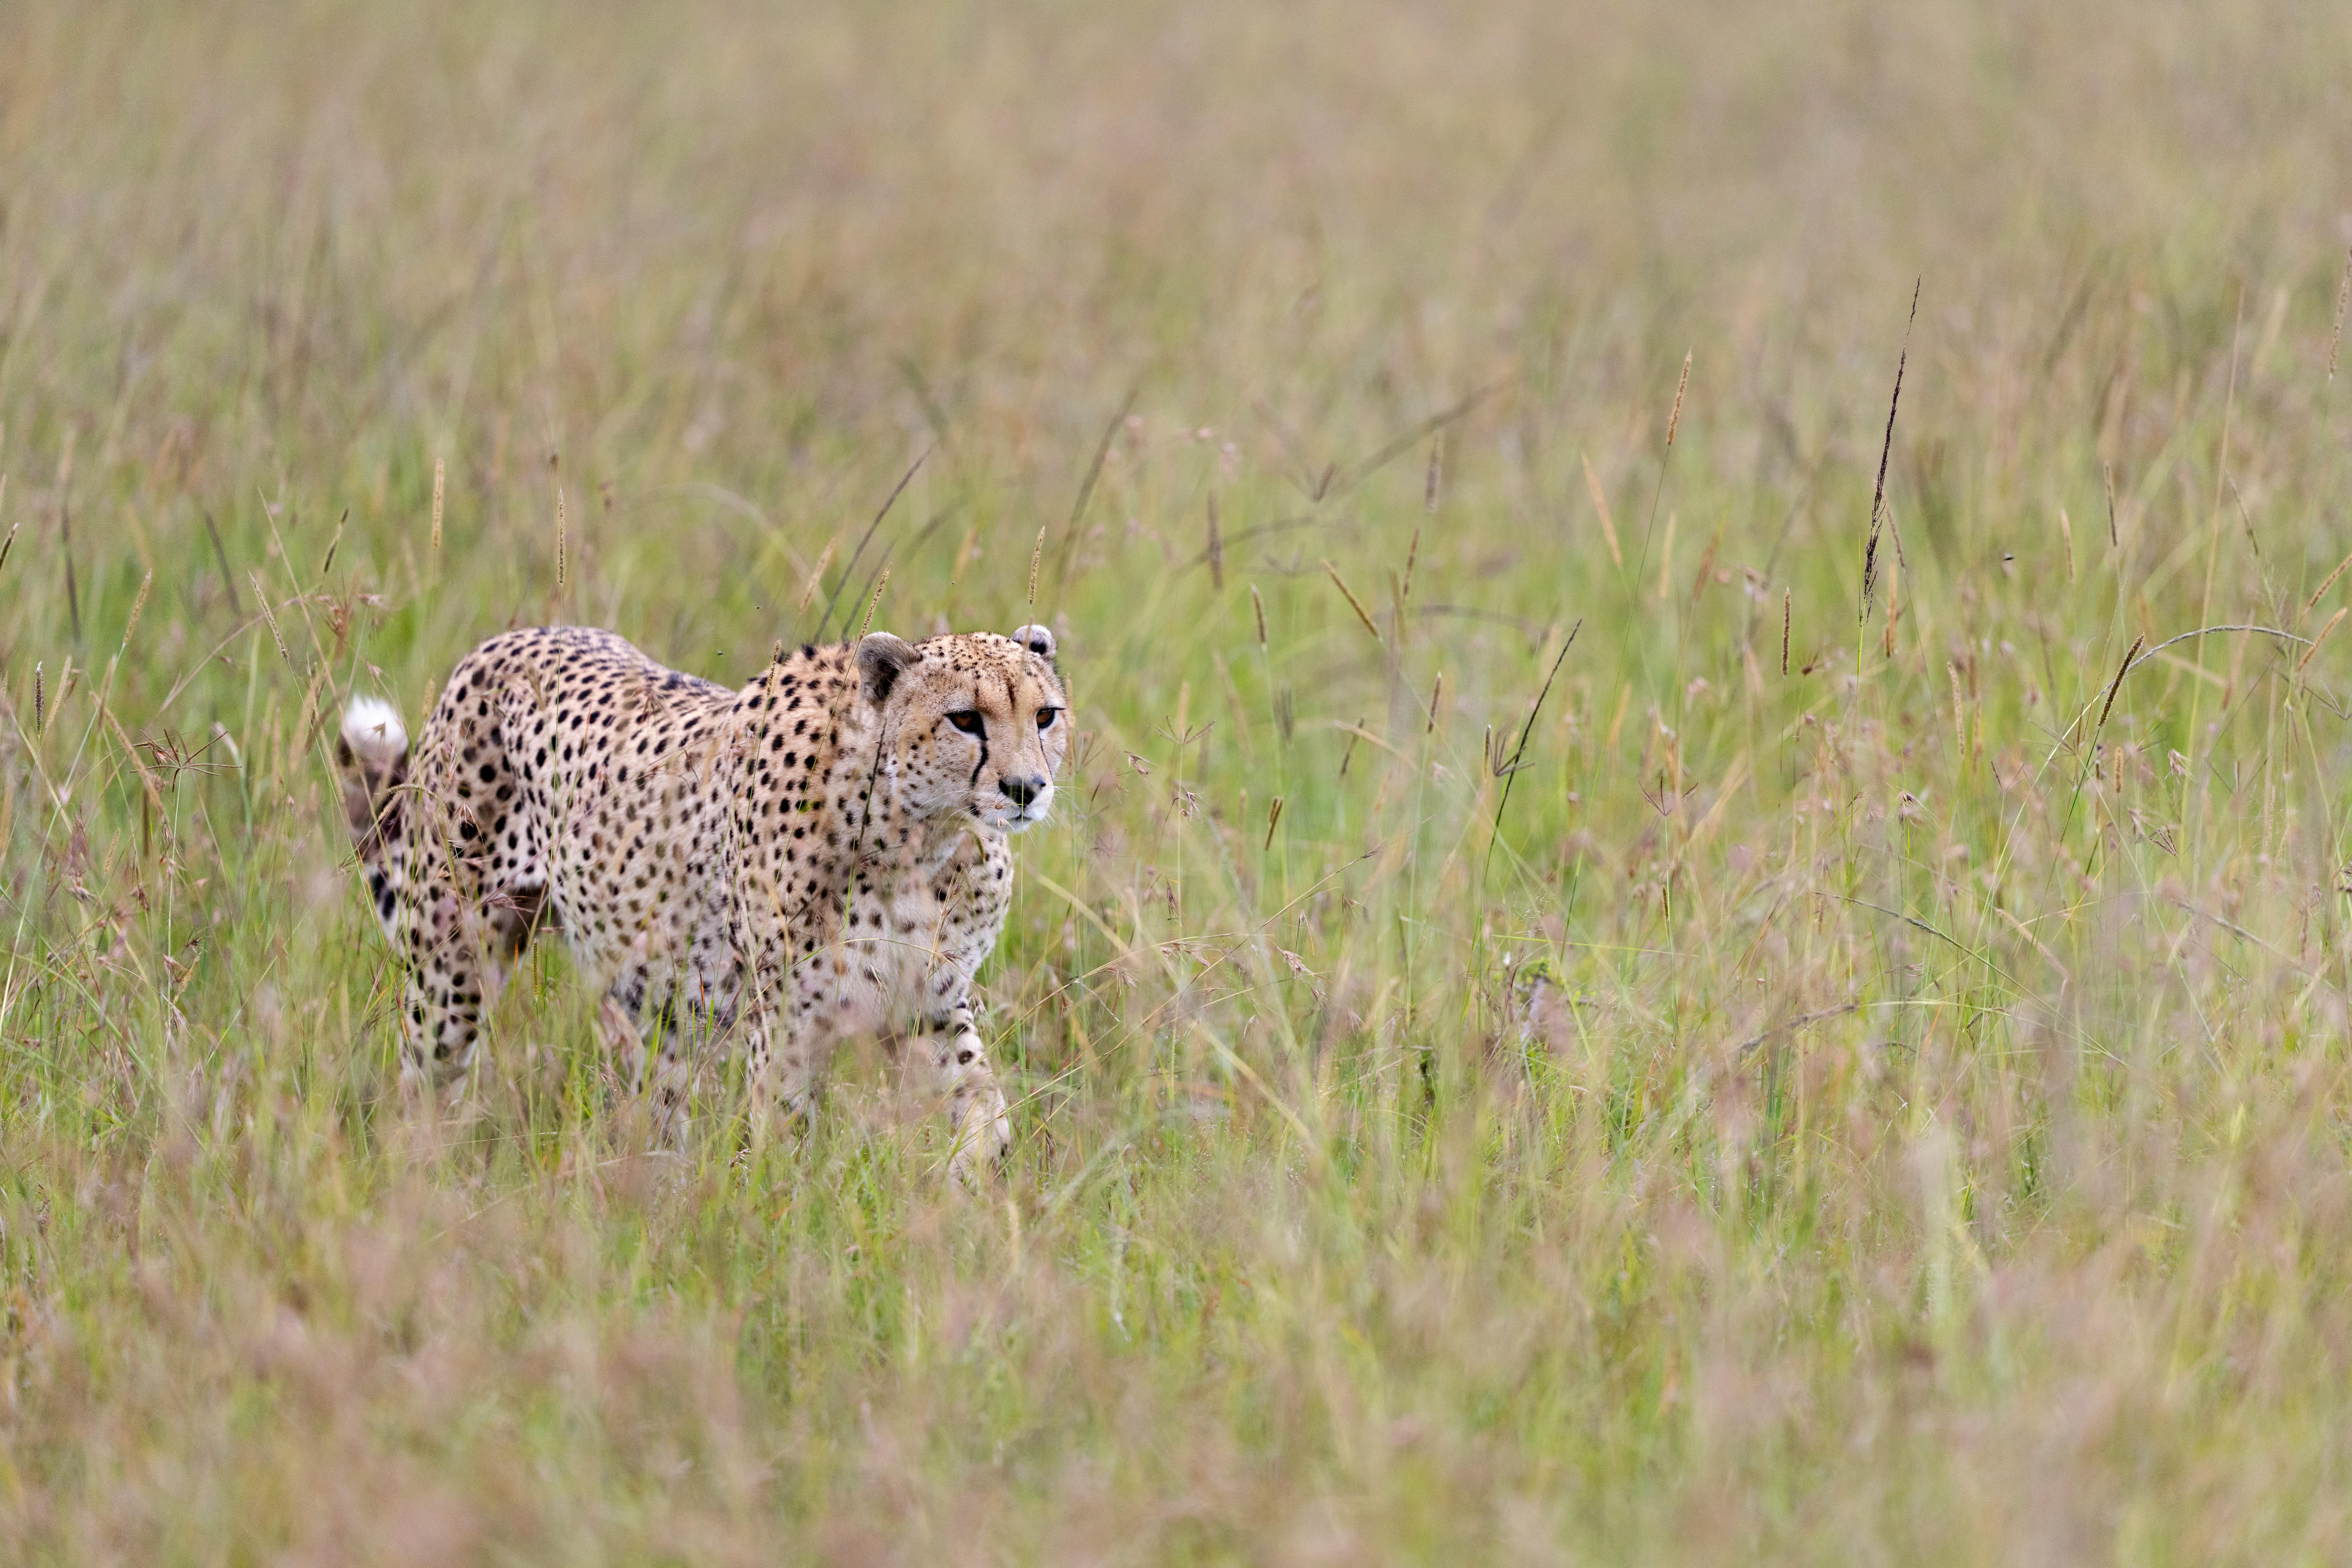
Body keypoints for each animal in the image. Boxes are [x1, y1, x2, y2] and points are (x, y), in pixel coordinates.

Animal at [334, 620, 1069, 1179]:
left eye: (1045, 716)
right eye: (965, 720)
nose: (1026, 788)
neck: (919, 836)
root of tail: (505, 640)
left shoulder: (928, 1002)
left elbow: (983, 1104)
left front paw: (976, 1179)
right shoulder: (786, 1017)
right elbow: (783, 1136)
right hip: (452, 968)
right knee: (425, 1088)